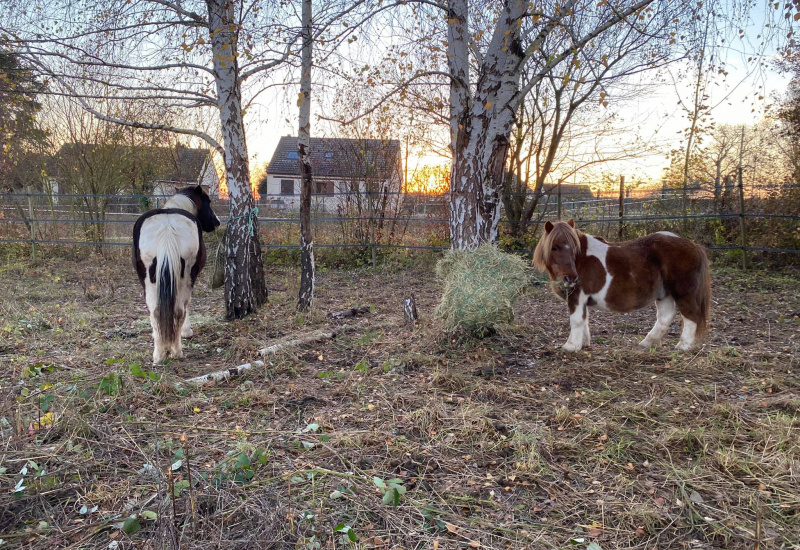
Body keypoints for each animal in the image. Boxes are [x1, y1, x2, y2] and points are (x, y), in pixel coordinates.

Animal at [133, 185, 220, 364]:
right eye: (208, 201)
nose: (217, 222)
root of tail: (167, 228)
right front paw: (187, 332)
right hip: (184, 278)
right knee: (177, 310)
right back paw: (173, 351)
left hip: (150, 280)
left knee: (158, 311)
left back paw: (161, 353)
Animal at [532, 219, 711, 352]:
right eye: (554, 247)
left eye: (574, 248)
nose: (571, 278)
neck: (580, 260)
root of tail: (694, 246)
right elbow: (584, 321)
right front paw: (582, 343)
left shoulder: (576, 297)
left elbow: (576, 321)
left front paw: (570, 346)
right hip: (664, 294)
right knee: (665, 317)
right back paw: (648, 342)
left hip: (683, 293)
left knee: (691, 315)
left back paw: (684, 346)